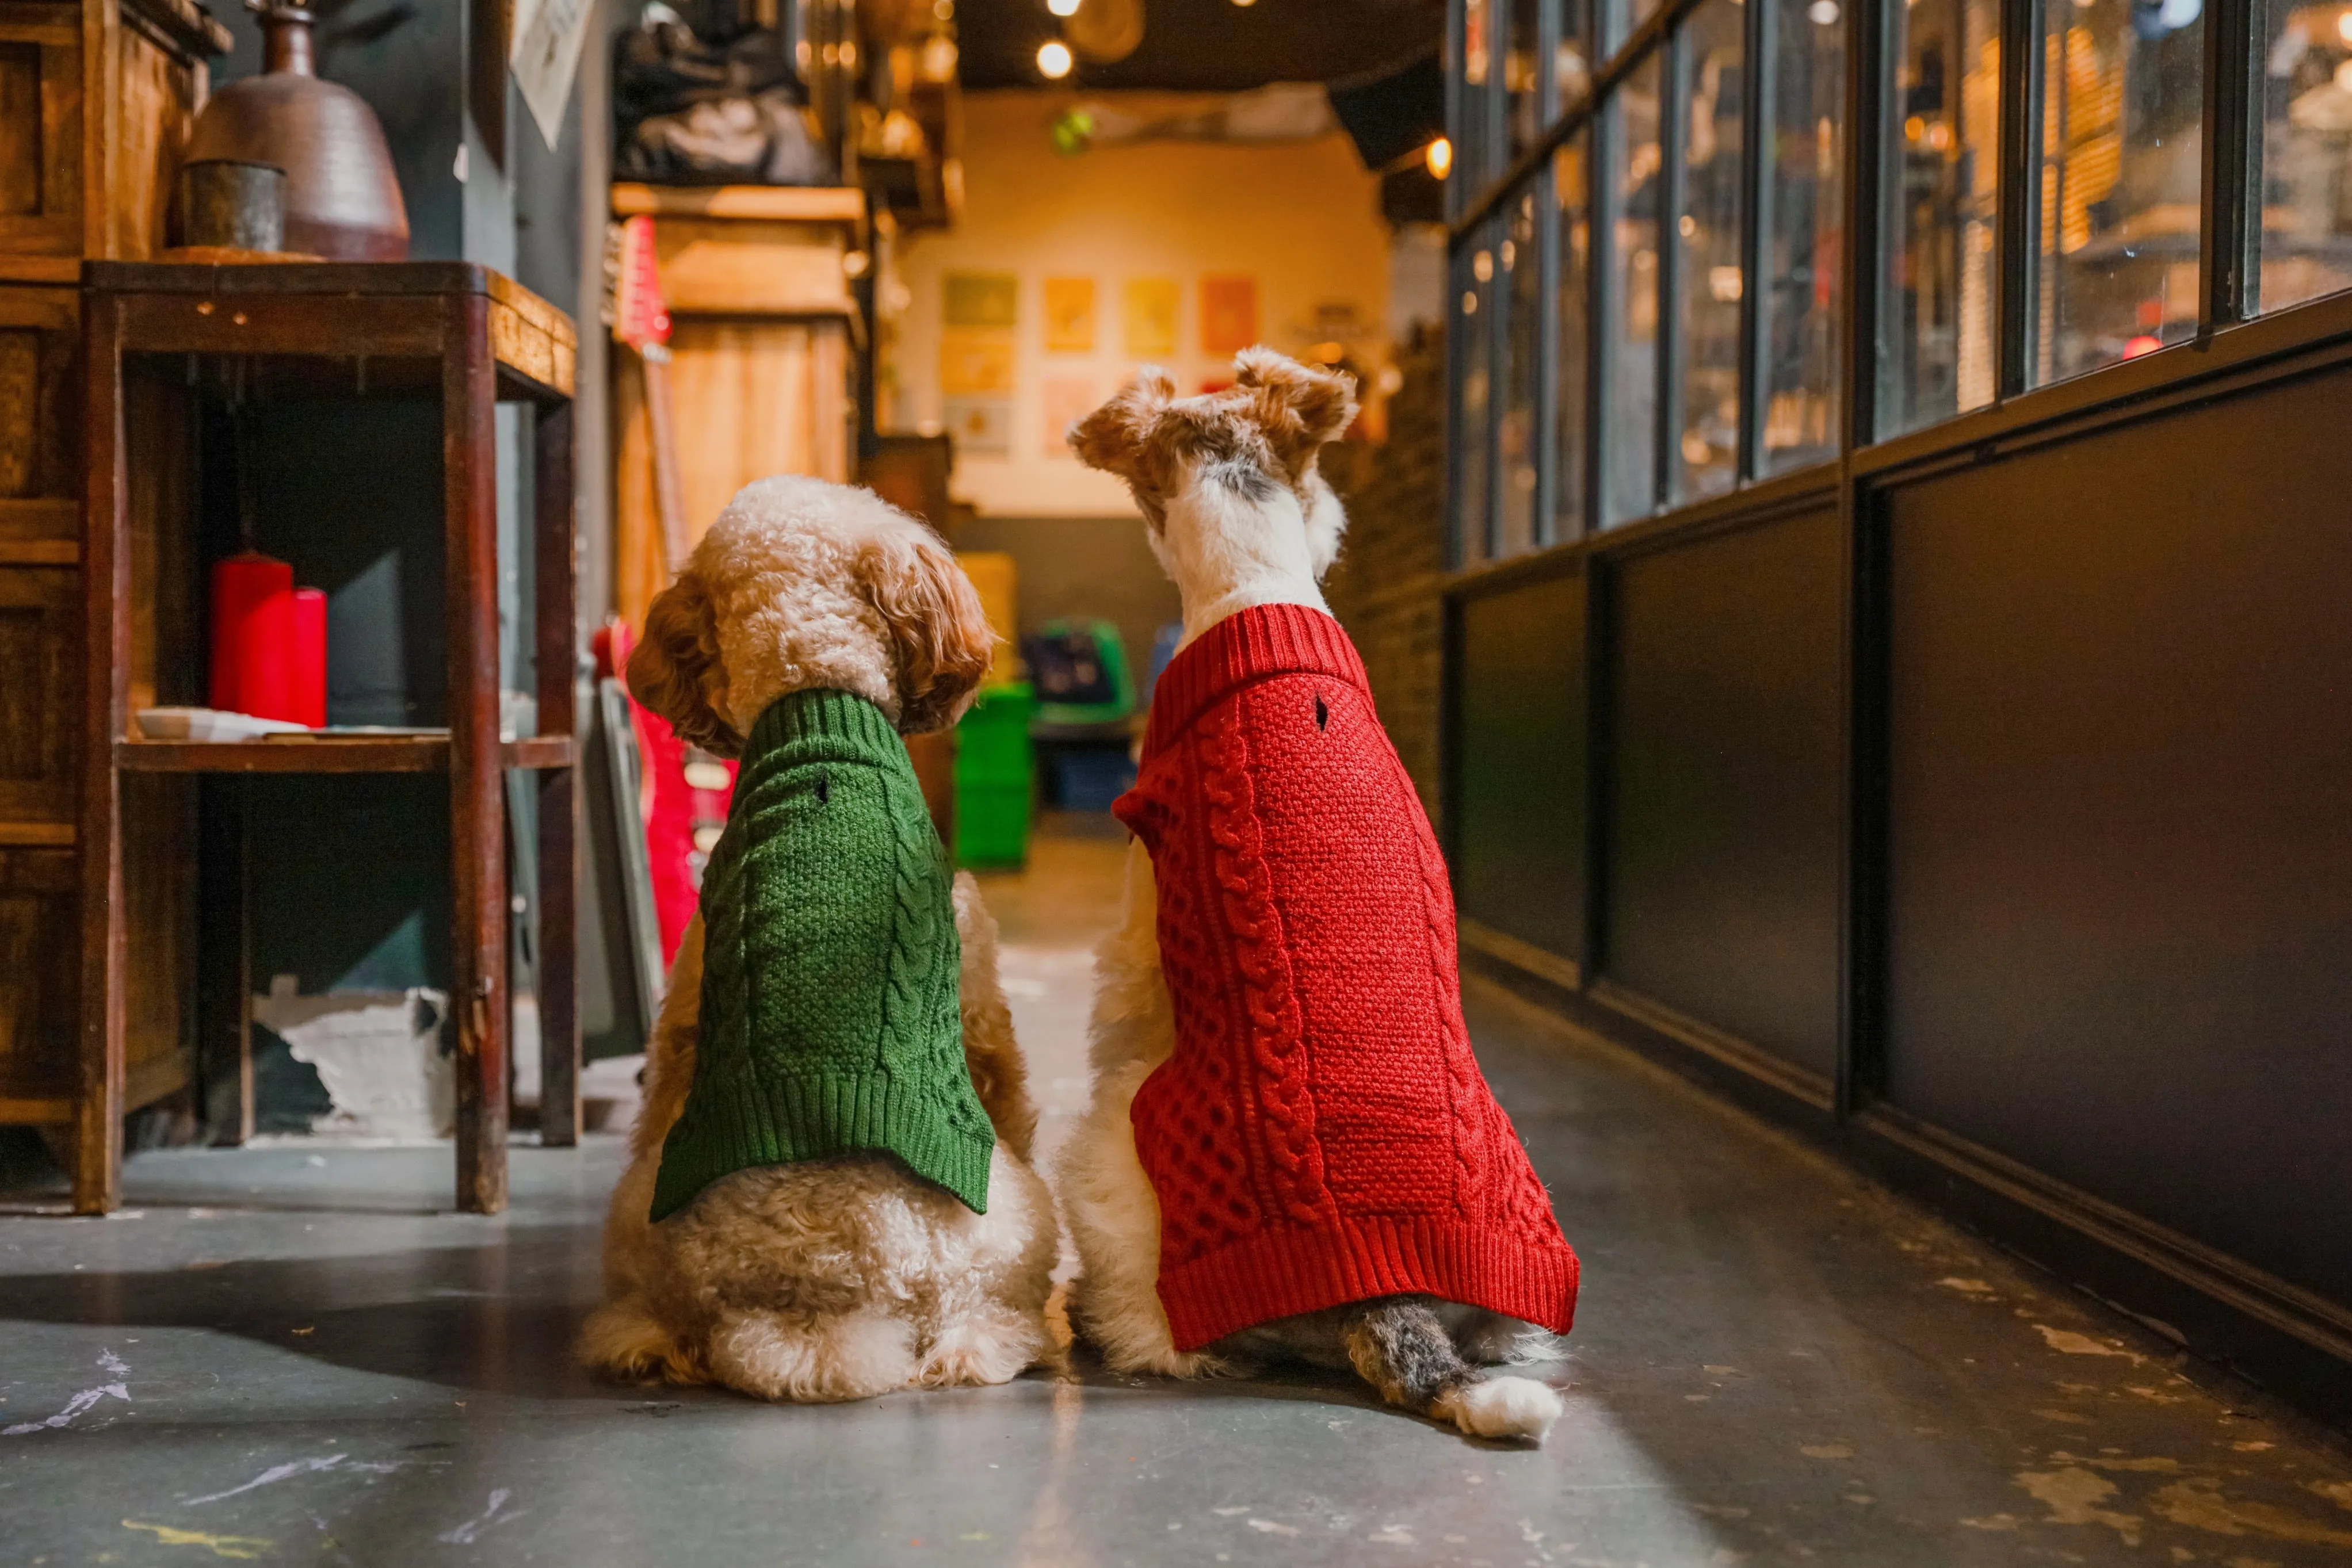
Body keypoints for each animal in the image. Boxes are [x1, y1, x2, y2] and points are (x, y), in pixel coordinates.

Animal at [583, 472, 1063, 1401]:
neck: (812, 688)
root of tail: (816, 1308)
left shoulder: (686, 999)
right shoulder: (978, 1002)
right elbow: (1009, 1084)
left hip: (634, 1207)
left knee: (643, 1312)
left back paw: (648, 1344)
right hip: (1014, 1215)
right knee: (978, 1328)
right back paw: (1004, 1341)